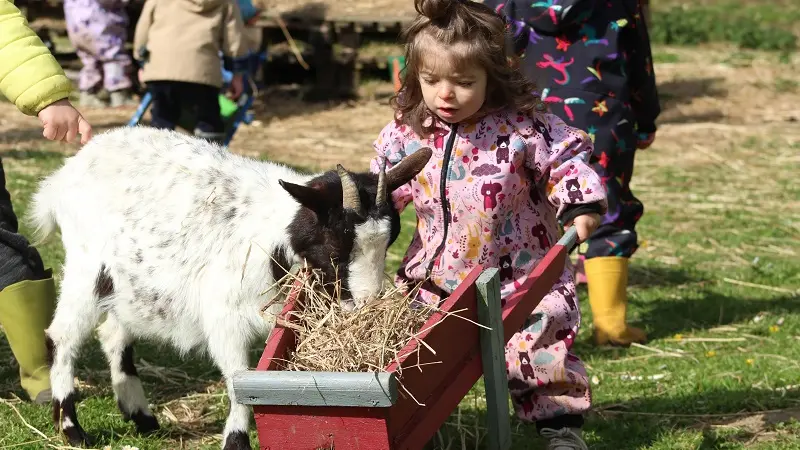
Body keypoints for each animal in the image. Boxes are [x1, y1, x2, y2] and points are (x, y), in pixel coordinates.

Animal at [29, 125, 432, 448]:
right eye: (335, 249)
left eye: (390, 242)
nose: (368, 305)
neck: (275, 236)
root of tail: (65, 174)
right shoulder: (225, 317)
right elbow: (240, 381)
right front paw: (236, 440)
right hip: (86, 269)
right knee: (61, 336)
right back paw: (72, 429)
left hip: (130, 284)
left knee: (113, 335)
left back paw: (140, 416)